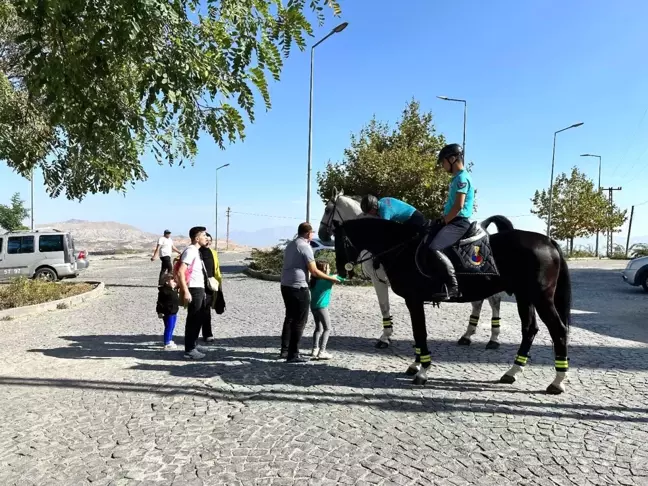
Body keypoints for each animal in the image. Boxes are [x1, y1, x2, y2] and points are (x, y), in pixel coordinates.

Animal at [316, 190, 504, 350]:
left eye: (327, 209)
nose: (322, 235)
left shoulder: (379, 280)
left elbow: (384, 307)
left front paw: (385, 338)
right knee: (478, 302)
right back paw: (467, 336)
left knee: (494, 301)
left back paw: (493, 339)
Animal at [336, 216, 568, 394]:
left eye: (338, 240)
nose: (341, 271)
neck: (402, 249)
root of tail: (548, 241)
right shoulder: (414, 301)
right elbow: (417, 333)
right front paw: (416, 364)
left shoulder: (413, 299)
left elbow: (420, 333)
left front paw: (423, 371)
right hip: (524, 297)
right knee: (529, 329)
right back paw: (512, 372)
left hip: (541, 298)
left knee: (558, 330)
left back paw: (557, 381)